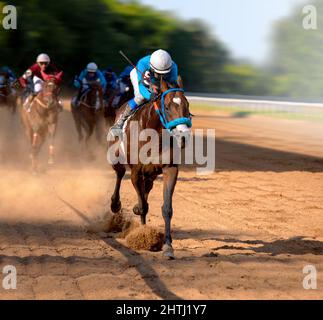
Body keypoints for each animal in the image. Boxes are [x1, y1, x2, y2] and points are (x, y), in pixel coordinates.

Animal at [108, 78, 192, 260]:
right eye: (166, 107)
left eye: (187, 105)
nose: (183, 137)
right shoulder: (136, 173)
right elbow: (143, 206)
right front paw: (143, 236)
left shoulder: (170, 169)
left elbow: (166, 208)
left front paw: (168, 246)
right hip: (117, 157)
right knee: (119, 174)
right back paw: (115, 205)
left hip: (151, 175)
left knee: (146, 189)